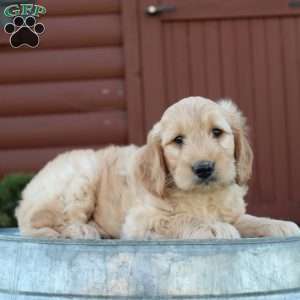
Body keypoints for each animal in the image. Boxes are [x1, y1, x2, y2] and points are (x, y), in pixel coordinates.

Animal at [16, 97, 300, 240]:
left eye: (217, 132)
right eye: (178, 140)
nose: (204, 168)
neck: (202, 196)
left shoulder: (233, 213)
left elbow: (250, 220)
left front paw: (279, 225)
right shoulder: (142, 219)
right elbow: (181, 218)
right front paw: (212, 228)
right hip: (80, 178)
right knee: (35, 222)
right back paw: (82, 230)